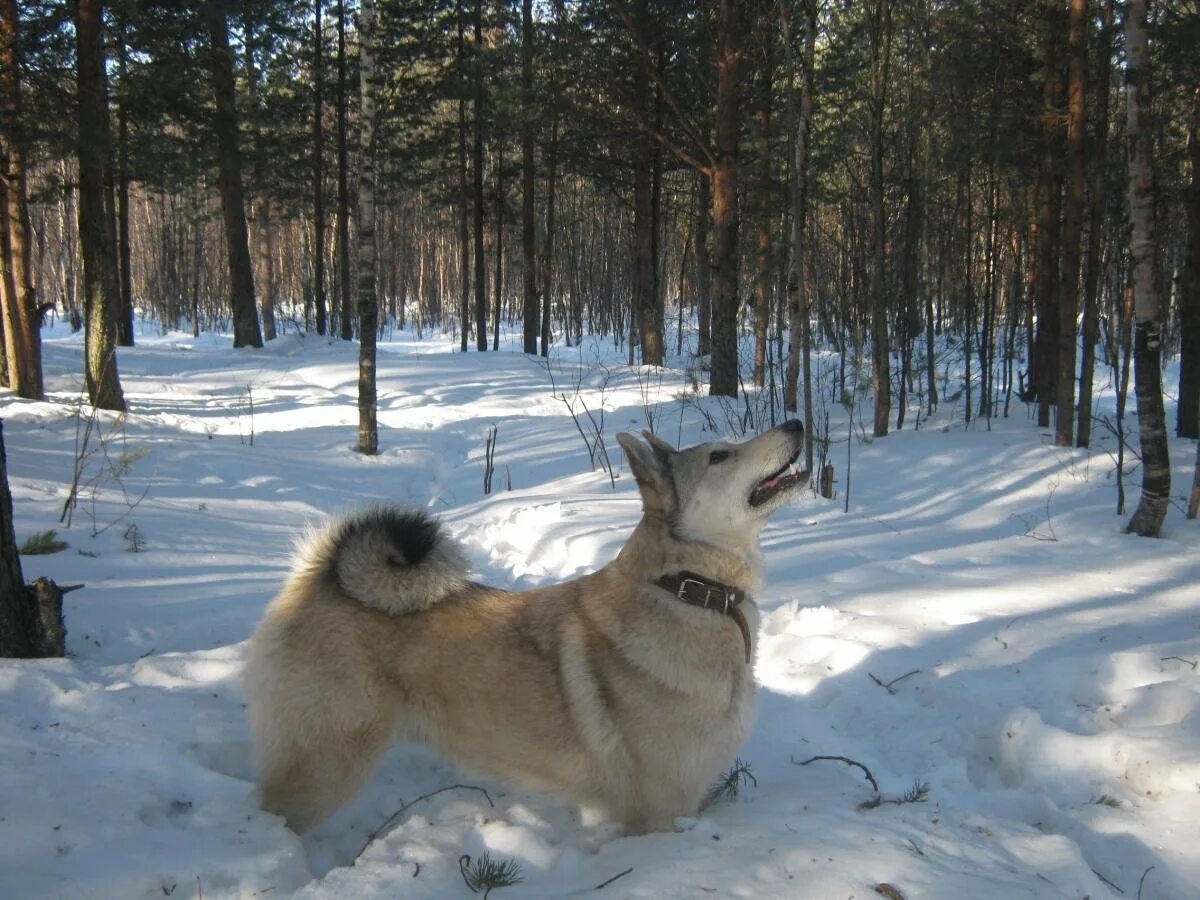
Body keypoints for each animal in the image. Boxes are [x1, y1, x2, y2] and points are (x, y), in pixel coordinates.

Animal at [242, 422, 806, 840]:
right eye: (720, 456)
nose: (796, 423)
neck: (684, 588)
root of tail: (318, 577)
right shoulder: (655, 815)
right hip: (325, 764)